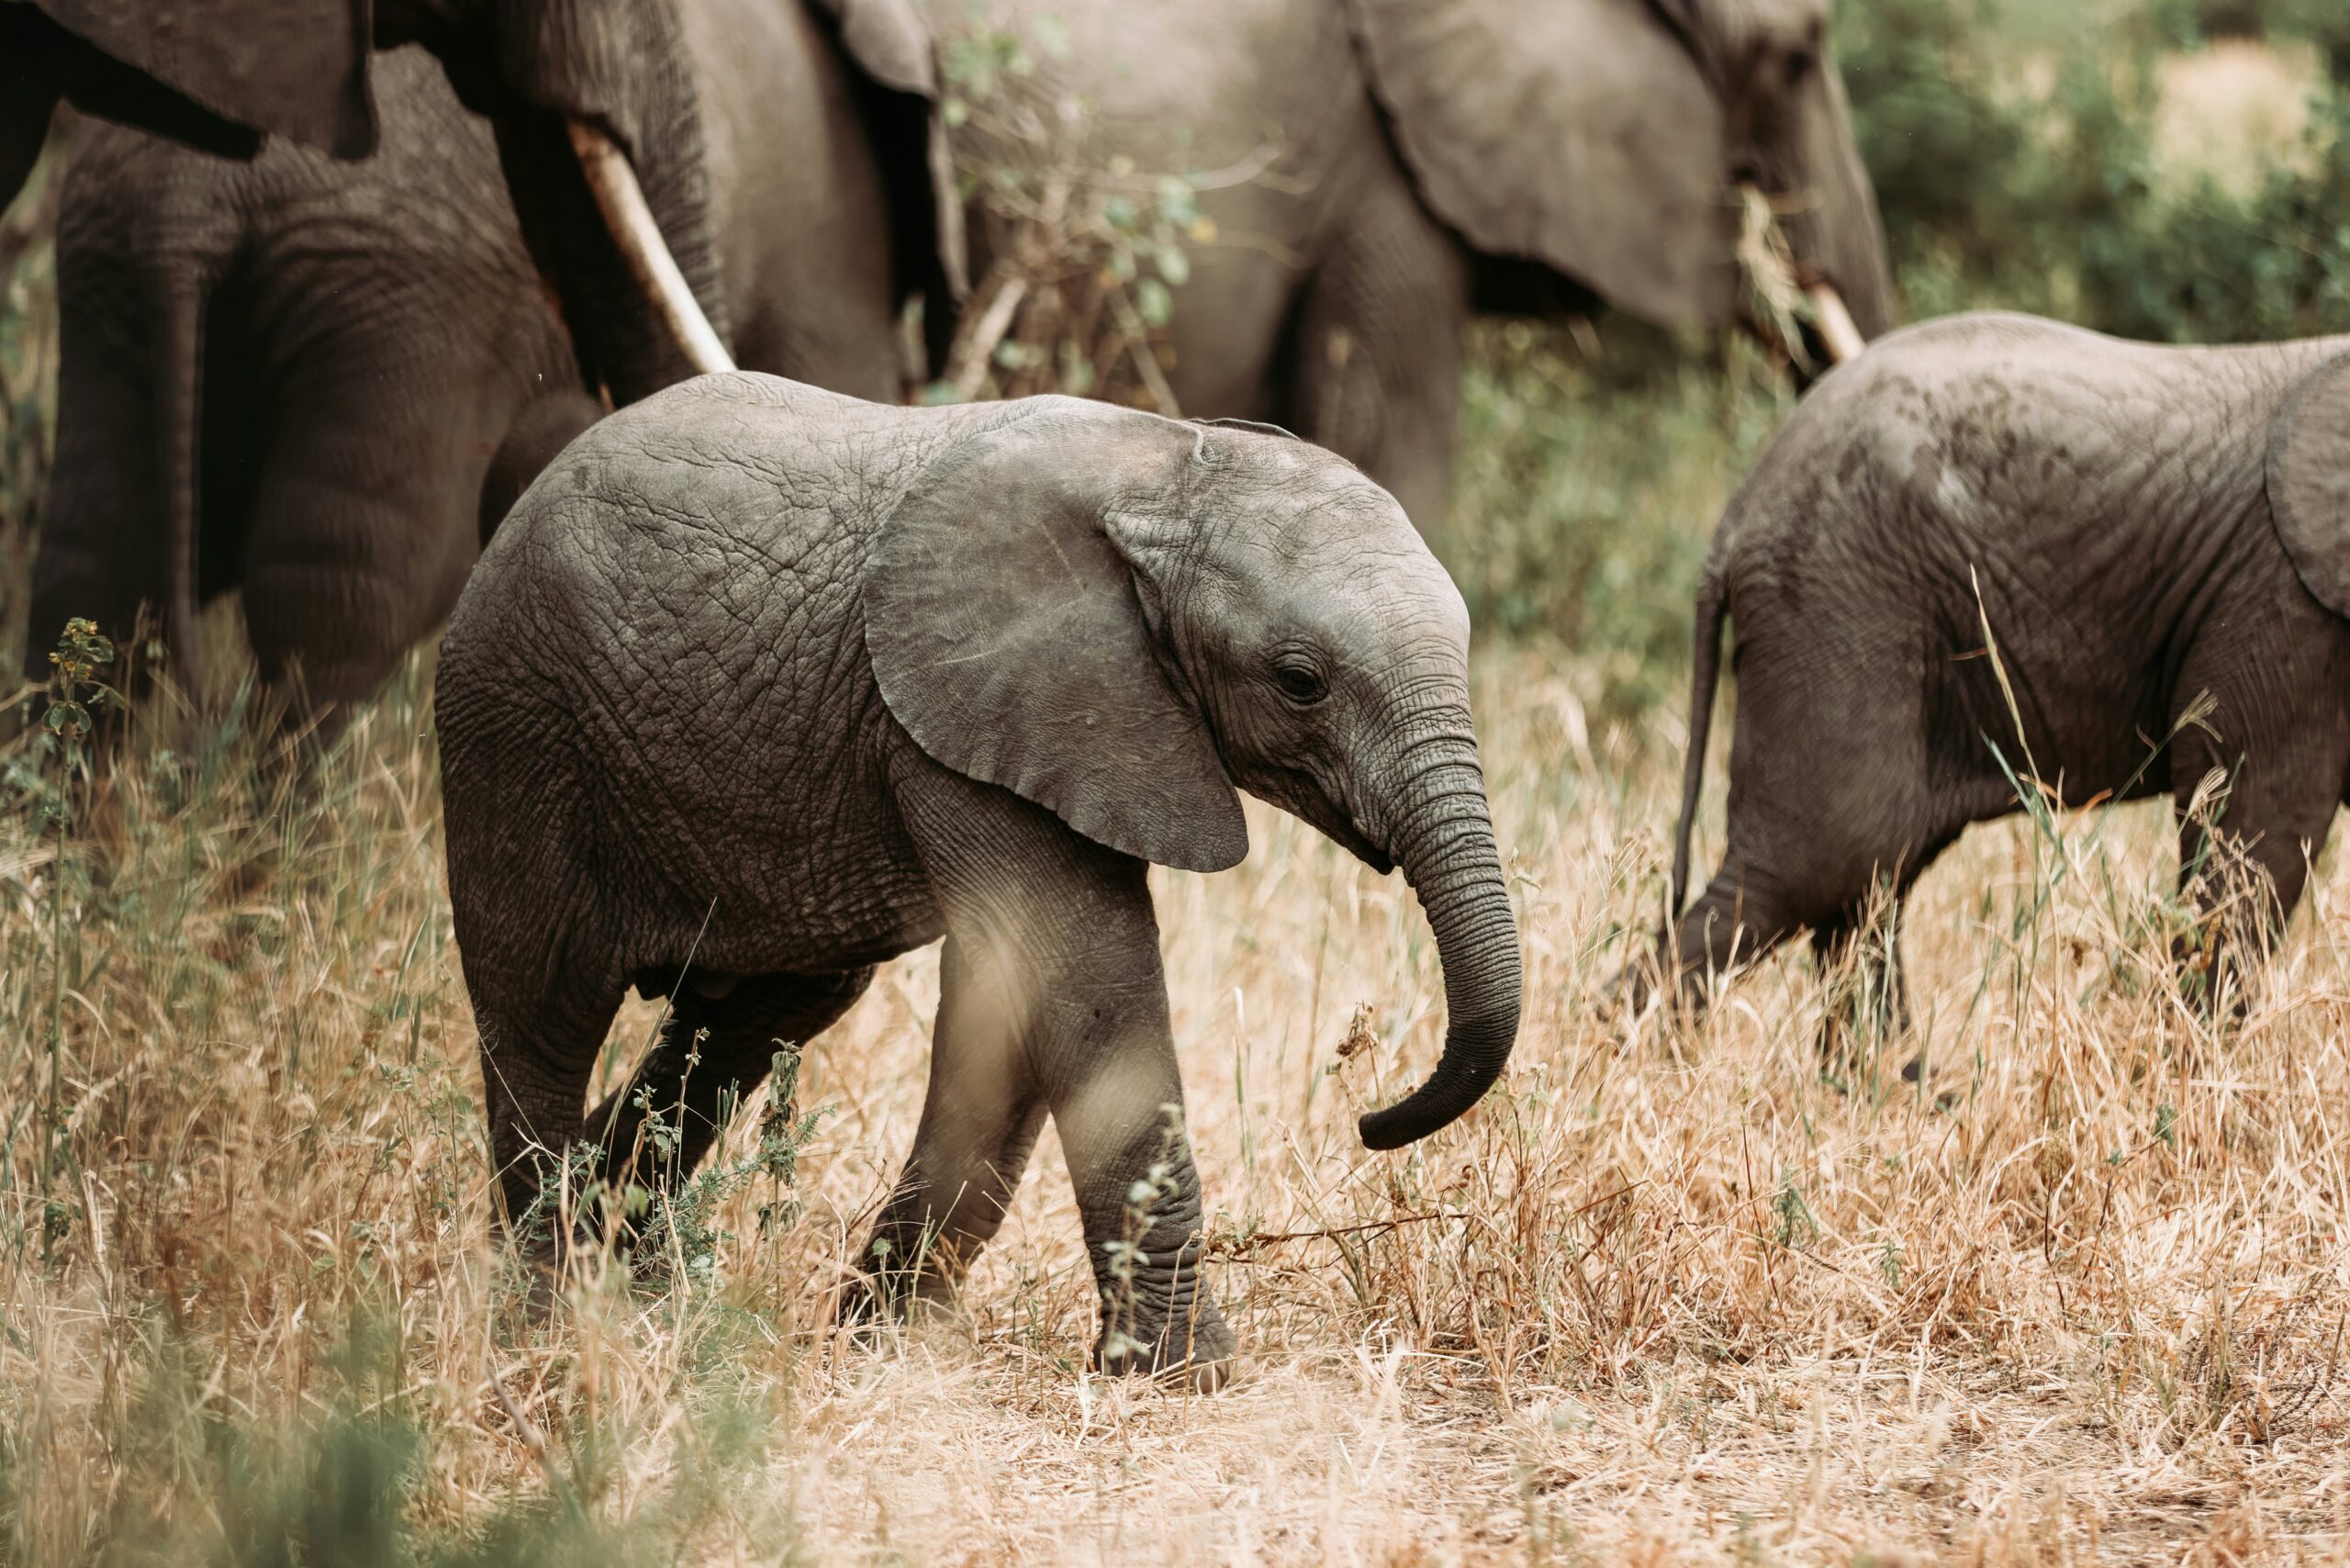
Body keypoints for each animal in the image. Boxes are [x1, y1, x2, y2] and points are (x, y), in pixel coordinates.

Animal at [23, 0, 960, 725]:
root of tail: (188, 201)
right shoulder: (833, 230)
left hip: (113, 268)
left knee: (96, 561)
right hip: (402, 303)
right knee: (353, 589)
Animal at [434, 377, 1524, 1386]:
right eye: (1301, 682)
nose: (1369, 1121)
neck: (1170, 466)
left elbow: (1015, 1012)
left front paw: (878, 1342)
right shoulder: (970, 720)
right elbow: (1086, 981)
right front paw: (1186, 1375)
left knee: (747, 1022)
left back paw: (629, 1282)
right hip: (514, 729)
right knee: (545, 1010)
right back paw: (545, 1323)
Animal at [1647, 312, 2350, 1037]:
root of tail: (1733, 520)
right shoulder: (2280, 601)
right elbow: (2257, 845)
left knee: (1868, 888)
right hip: (1833, 604)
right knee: (1814, 867)